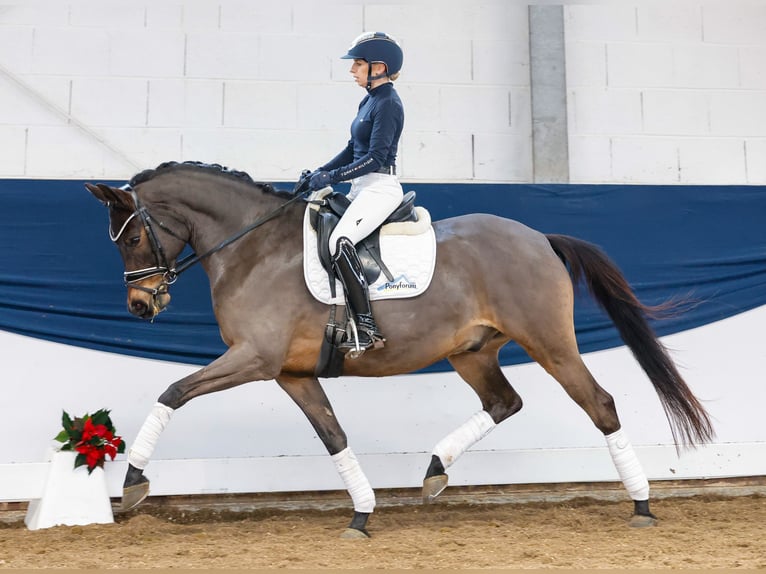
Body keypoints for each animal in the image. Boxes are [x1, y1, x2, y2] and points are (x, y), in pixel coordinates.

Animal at [87, 162, 716, 540]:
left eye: (135, 236)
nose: (140, 306)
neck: (253, 247)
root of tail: (539, 237)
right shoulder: (290, 372)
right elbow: (333, 435)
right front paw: (362, 513)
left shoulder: (255, 359)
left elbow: (173, 391)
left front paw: (133, 482)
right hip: (472, 351)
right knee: (504, 402)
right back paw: (435, 471)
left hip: (550, 343)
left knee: (600, 405)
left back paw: (641, 505)